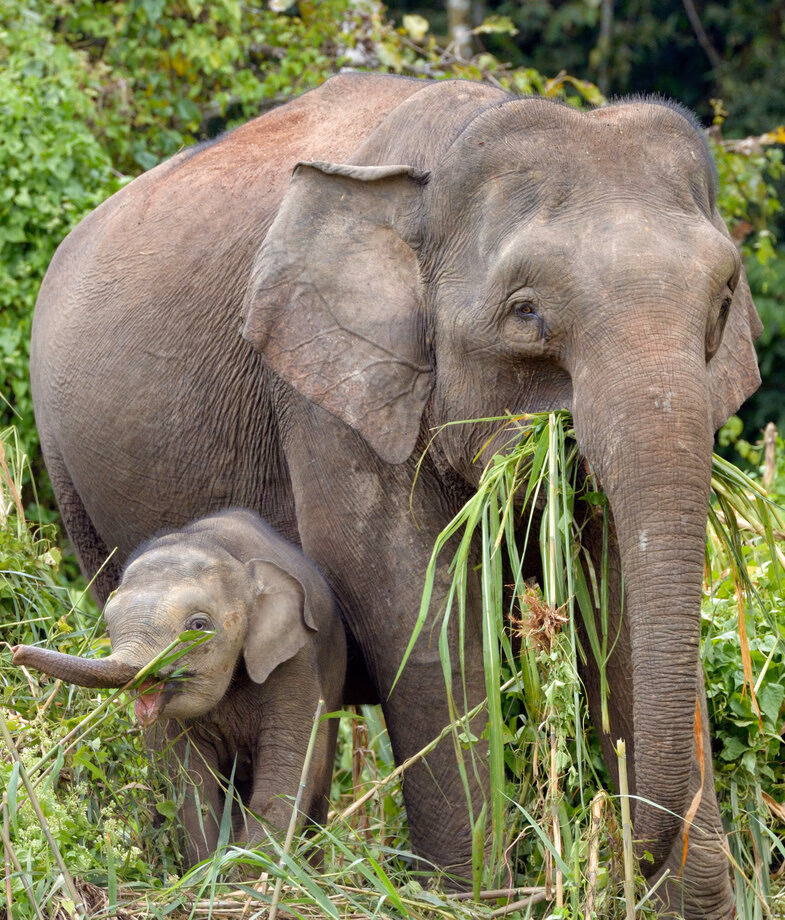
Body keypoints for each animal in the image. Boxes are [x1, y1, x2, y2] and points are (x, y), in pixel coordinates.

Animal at [13, 509, 346, 864]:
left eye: (198, 626)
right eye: (108, 624)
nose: (15, 651)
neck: (222, 548)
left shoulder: (295, 663)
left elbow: (285, 772)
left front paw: (243, 869)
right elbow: (189, 782)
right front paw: (207, 869)